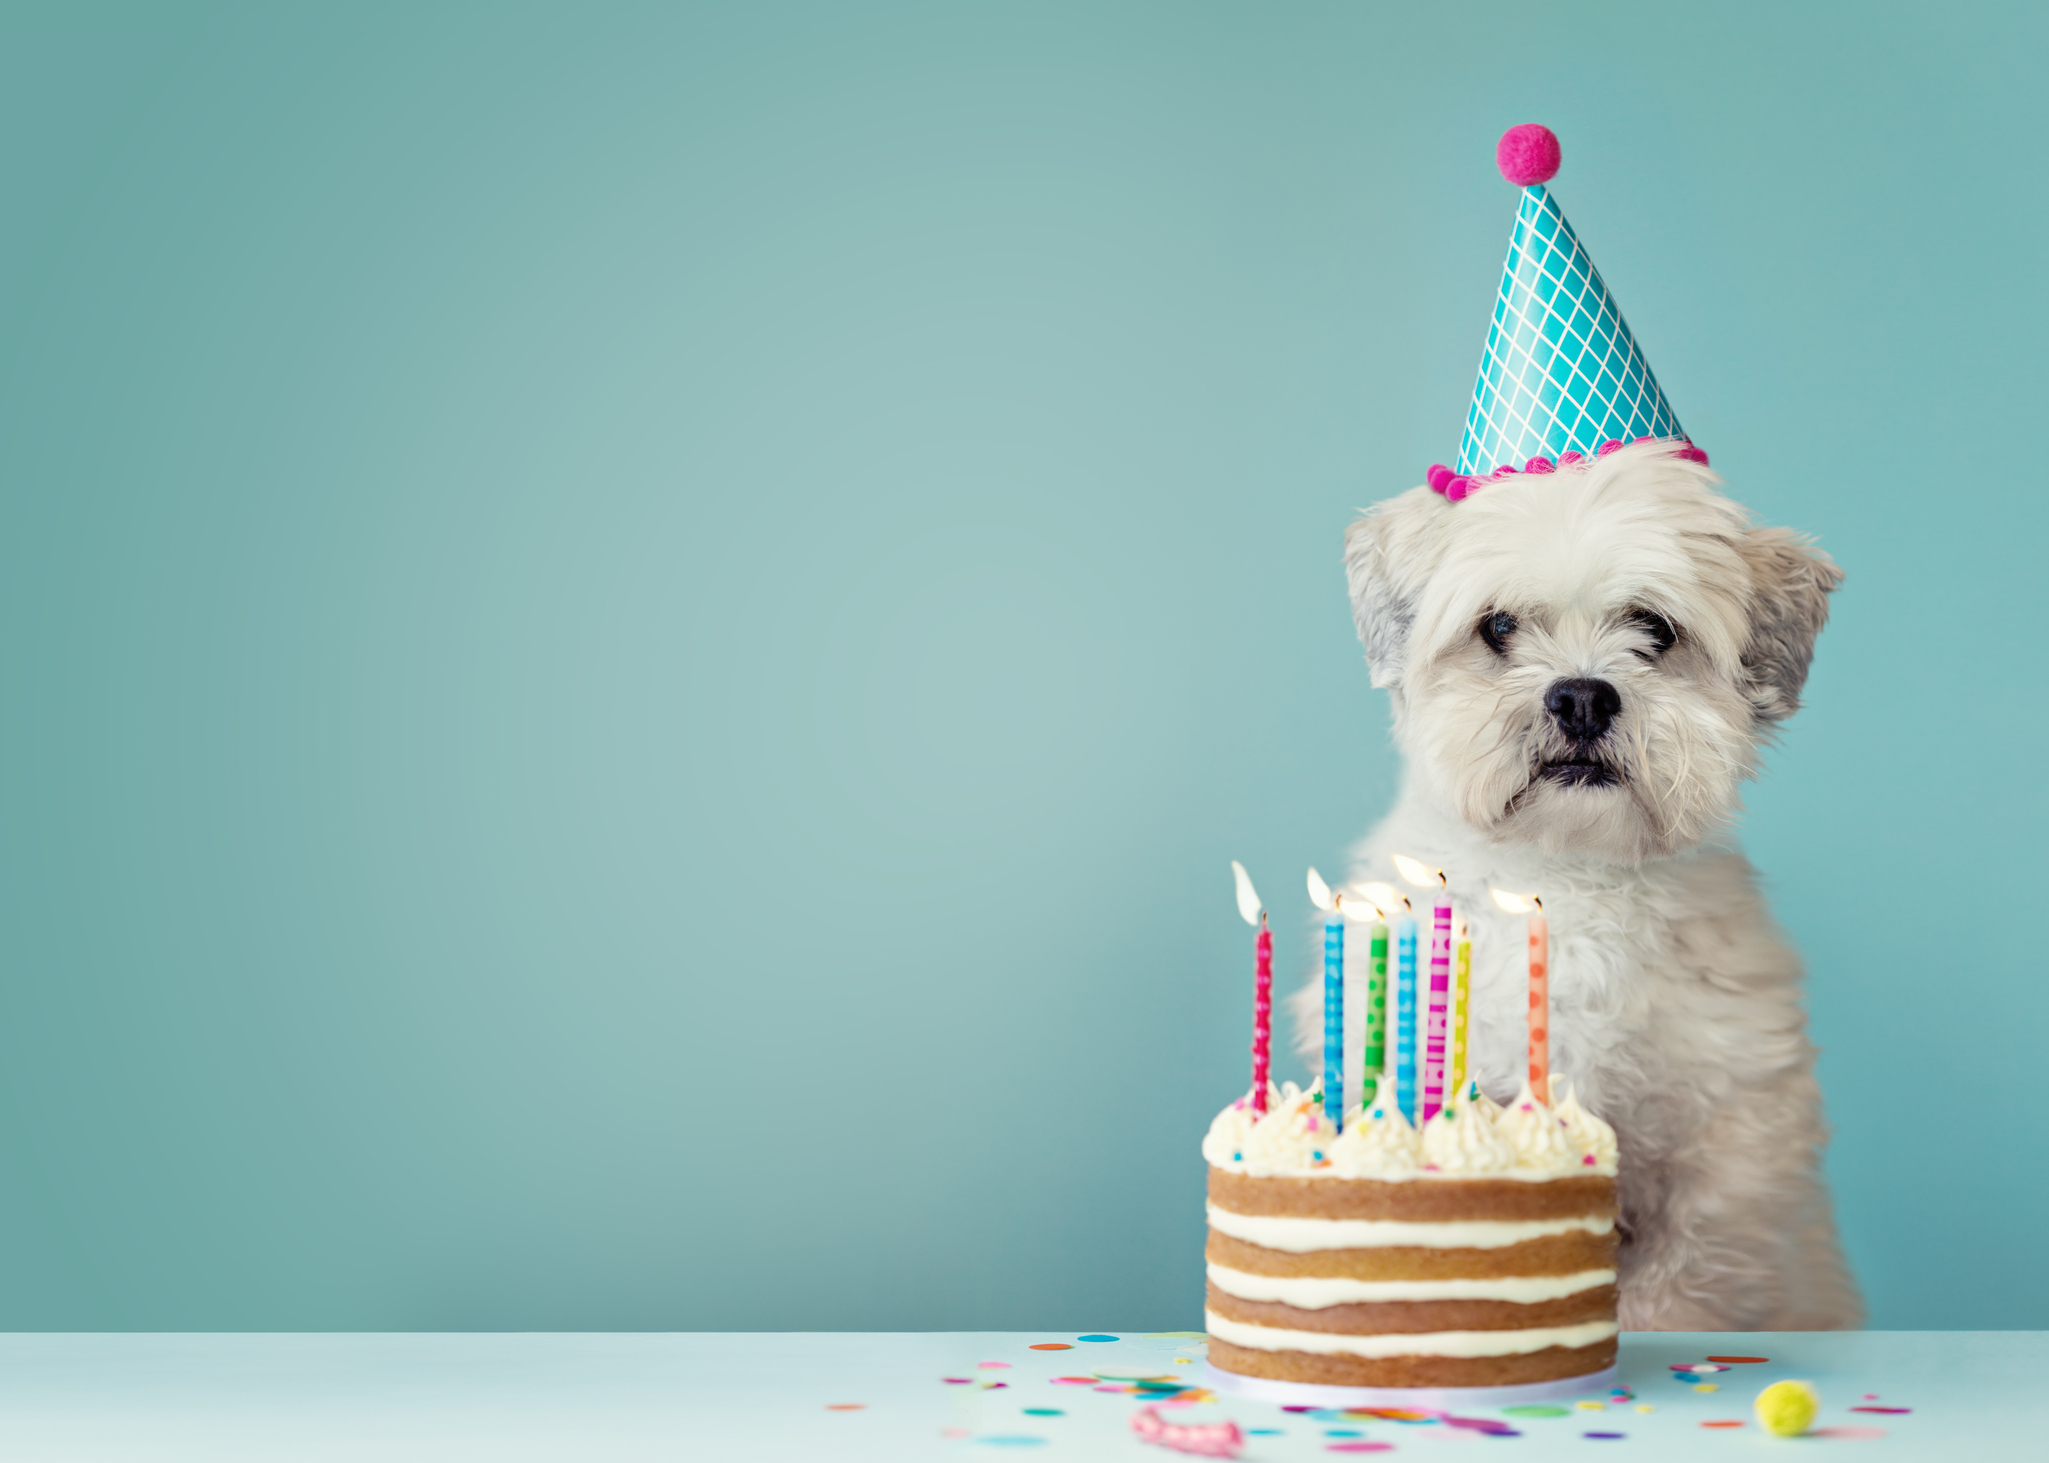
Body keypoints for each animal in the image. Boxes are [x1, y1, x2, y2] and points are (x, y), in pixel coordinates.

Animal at [1294, 444, 1860, 1335]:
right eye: (1496, 627)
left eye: (1653, 628)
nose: (1583, 693)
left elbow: (1688, 1269)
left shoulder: (1731, 1139)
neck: (1564, 874)